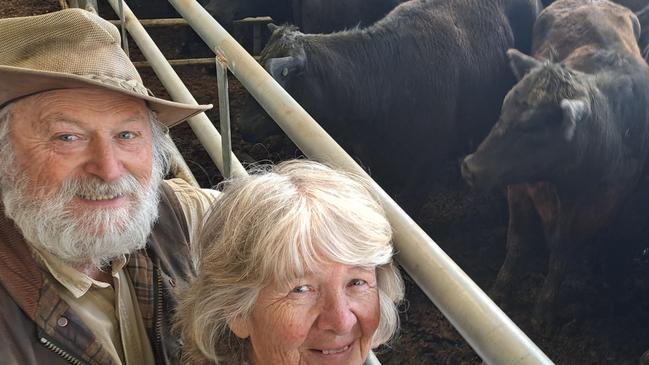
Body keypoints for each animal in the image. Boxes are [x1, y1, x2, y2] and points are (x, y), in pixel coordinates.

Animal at [460, 0, 648, 326]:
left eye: (535, 128)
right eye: (504, 108)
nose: (471, 168)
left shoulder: (595, 209)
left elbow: (561, 256)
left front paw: (542, 313)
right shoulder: (518, 187)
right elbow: (517, 241)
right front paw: (500, 291)